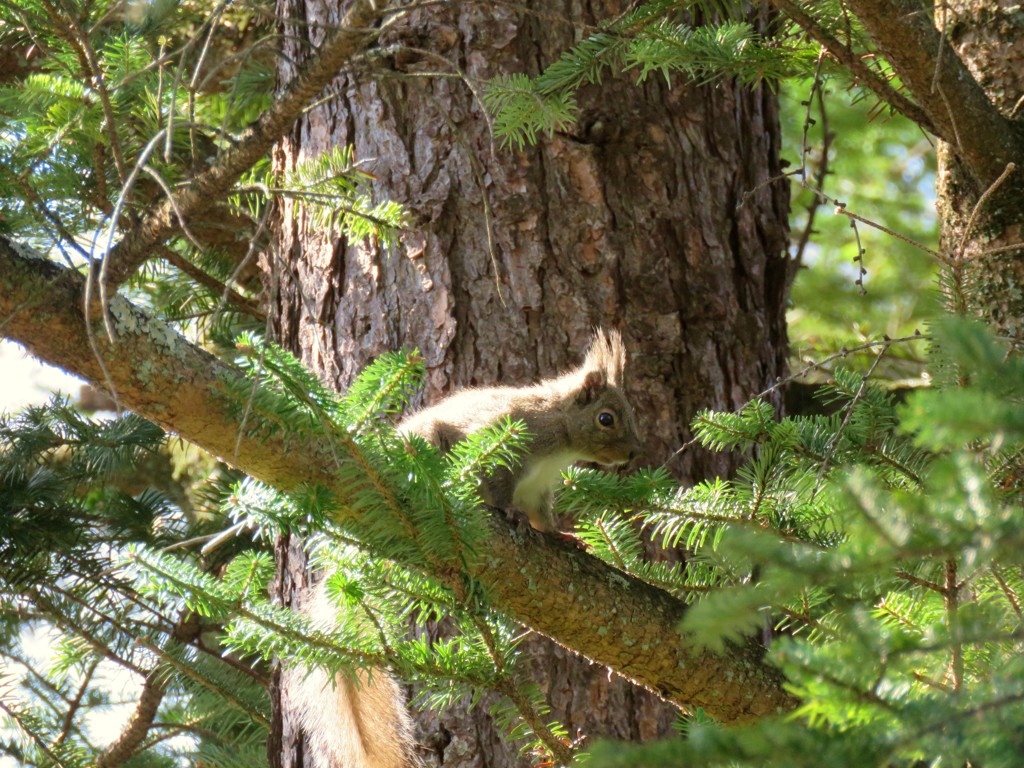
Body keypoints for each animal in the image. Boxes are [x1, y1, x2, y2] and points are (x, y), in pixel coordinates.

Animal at [288, 331, 638, 768]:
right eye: (606, 418)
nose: (632, 455)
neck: (558, 431)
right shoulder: (505, 446)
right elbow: (499, 488)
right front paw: (511, 516)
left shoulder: (539, 489)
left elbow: (544, 518)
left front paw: (565, 537)